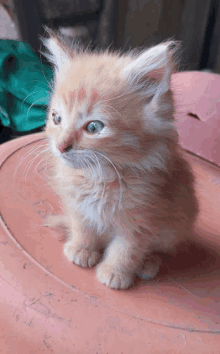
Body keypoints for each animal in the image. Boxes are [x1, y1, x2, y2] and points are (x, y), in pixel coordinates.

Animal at [43, 33, 199, 290]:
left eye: (93, 127)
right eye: (56, 118)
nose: (61, 146)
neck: (99, 177)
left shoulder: (143, 219)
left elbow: (126, 249)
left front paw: (115, 273)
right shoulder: (78, 205)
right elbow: (82, 226)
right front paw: (82, 249)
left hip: (176, 226)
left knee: (160, 248)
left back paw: (148, 264)